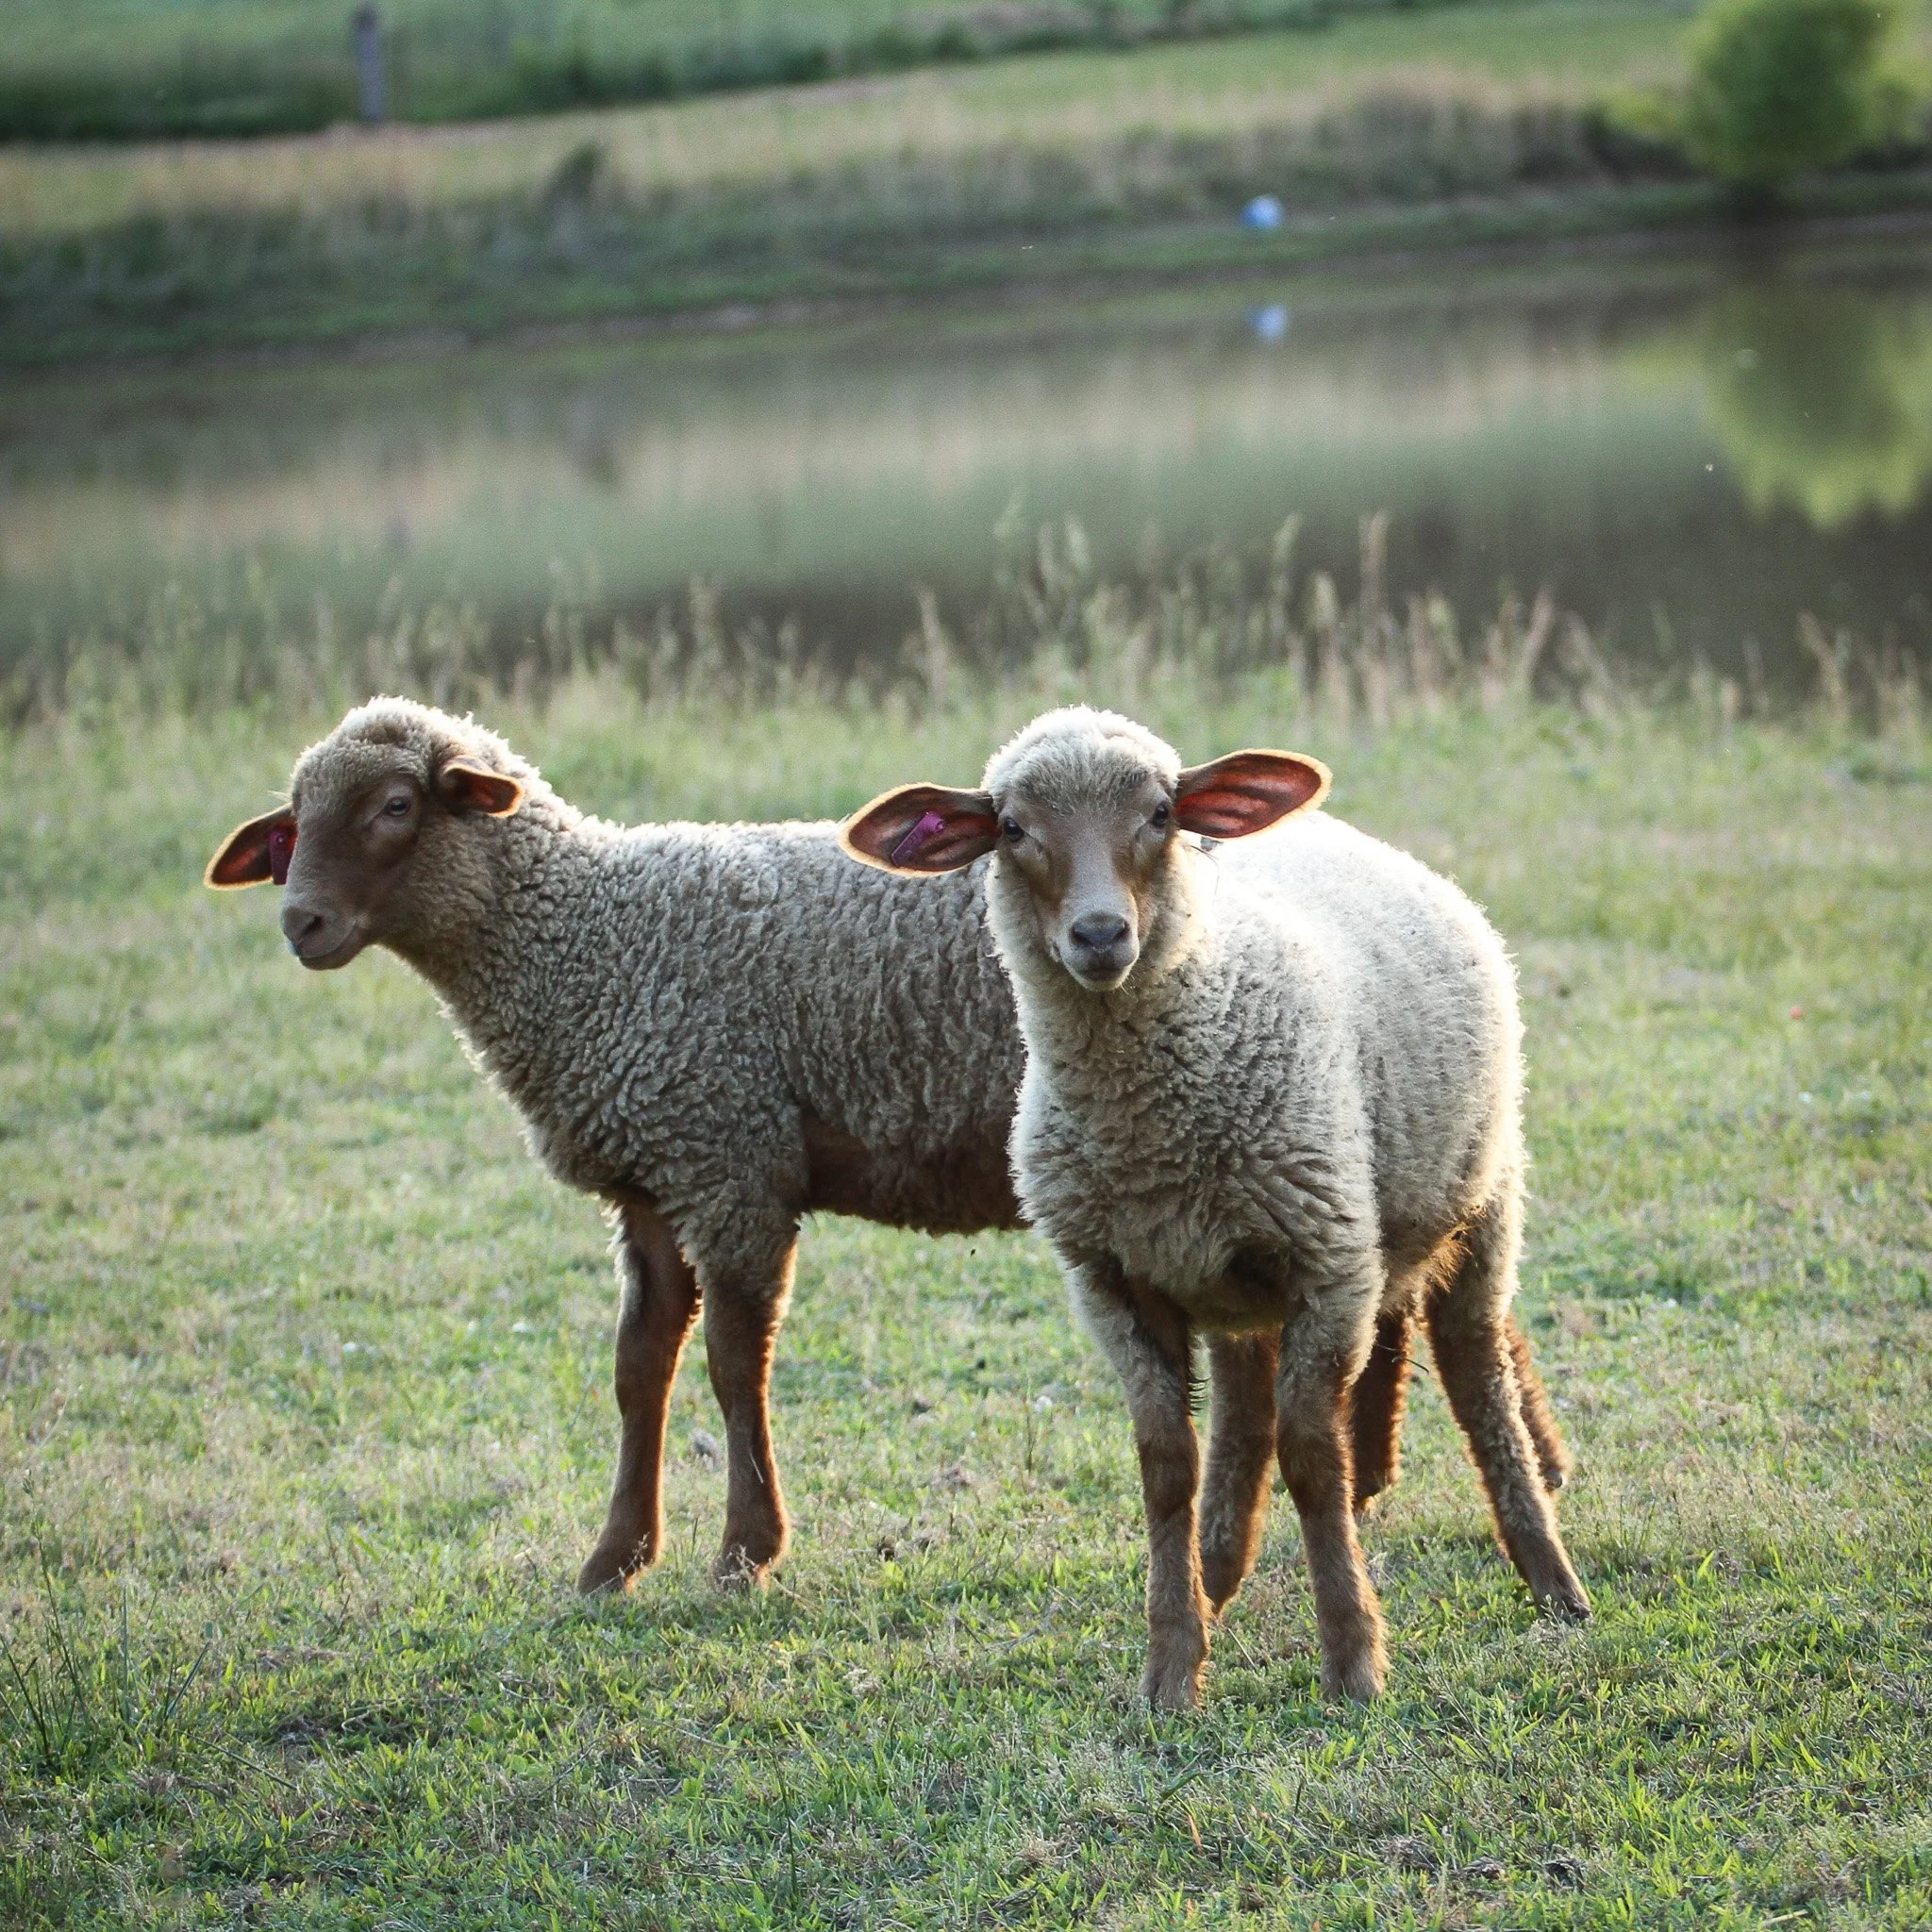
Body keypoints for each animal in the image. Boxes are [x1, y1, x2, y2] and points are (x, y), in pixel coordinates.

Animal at [842, 706, 1589, 1705]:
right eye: (1010, 827)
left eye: (1161, 812)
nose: (1100, 934)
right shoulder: (1112, 1281)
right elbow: (1167, 1466)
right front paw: (1170, 1667)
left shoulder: (1331, 1261)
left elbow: (1313, 1459)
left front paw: (1353, 1662)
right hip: (1238, 1276)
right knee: (1245, 1419)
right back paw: (1220, 1577)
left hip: (1481, 1199)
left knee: (1477, 1383)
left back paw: (1552, 1579)